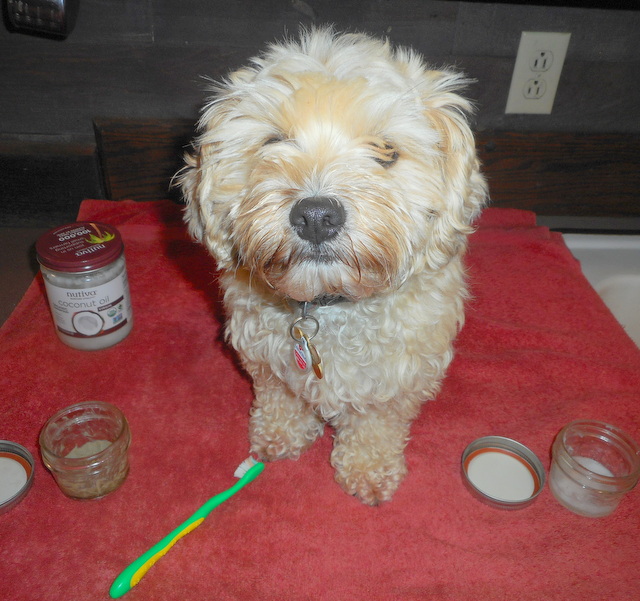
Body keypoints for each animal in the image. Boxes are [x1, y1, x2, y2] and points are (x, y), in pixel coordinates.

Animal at [178, 27, 488, 506]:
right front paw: (279, 436)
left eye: (386, 150)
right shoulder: (266, 359)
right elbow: (281, 397)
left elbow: (377, 422)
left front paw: (368, 468)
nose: (316, 216)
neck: (326, 304)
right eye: (272, 142)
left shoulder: (398, 377)